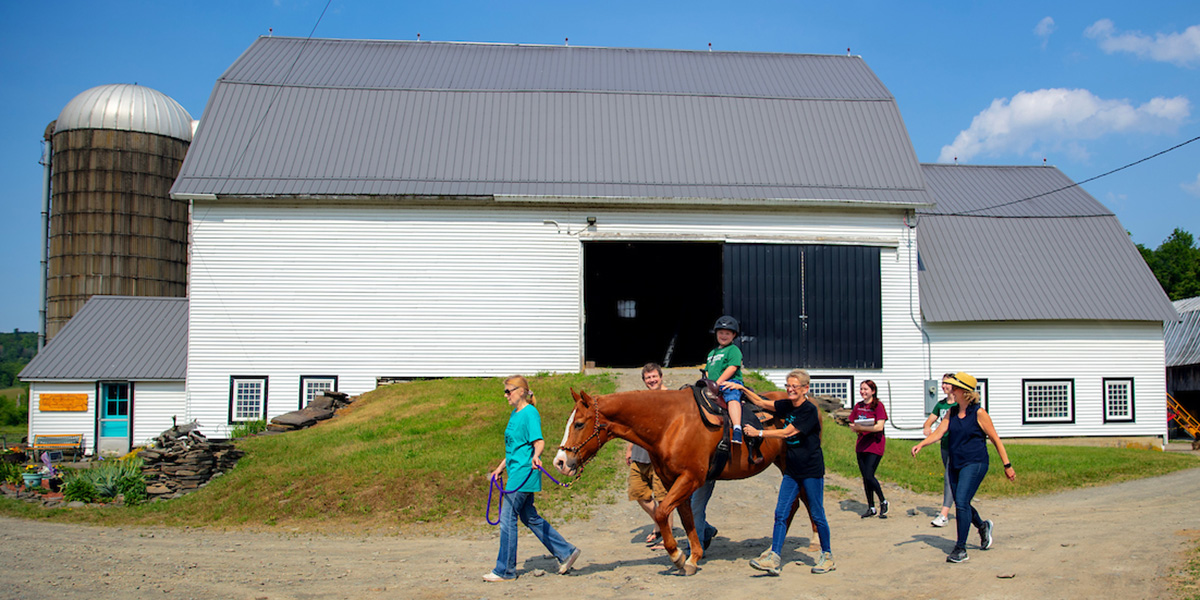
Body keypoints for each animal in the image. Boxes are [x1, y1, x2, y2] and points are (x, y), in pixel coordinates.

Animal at [552, 388, 806, 576]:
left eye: (579, 424)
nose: (560, 462)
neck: (670, 423)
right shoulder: (674, 481)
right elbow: (686, 517)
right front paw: (692, 558)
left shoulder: (690, 479)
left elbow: (662, 512)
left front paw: (677, 556)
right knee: (794, 505)